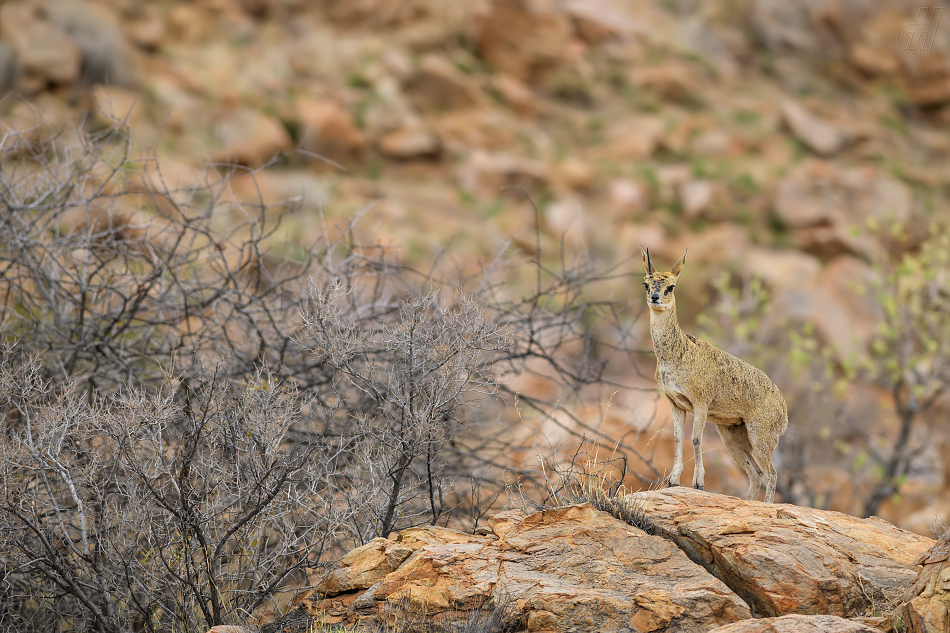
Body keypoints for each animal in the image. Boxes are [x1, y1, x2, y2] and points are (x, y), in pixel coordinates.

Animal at [644, 247, 792, 504]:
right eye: (646, 283)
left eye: (671, 287)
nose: (654, 298)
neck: (678, 353)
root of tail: (784, 411)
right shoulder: (675, 403)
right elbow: (677, 437)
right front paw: (673, 480)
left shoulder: (701, 403)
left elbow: (695, 439)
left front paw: (698, 483)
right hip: (731, 435)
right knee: (755, 473)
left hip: (761, 437)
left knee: (772, 472)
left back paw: (767, 505)